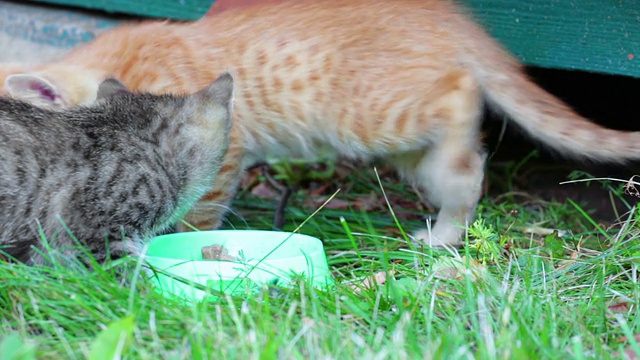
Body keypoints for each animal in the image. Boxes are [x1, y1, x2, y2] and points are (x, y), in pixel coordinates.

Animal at [2, 0, 636, 248]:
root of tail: (452, 21)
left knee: (460, 96)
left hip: (372, 110)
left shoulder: (218, 141)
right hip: (405, 145)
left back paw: (454, 188)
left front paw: (183, 245)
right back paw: (449, 224)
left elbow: (197, 206)